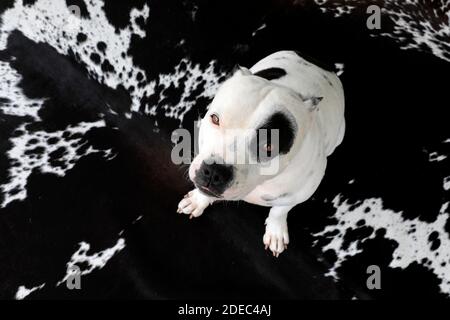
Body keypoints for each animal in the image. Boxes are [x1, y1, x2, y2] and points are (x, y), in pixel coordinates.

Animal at [176, 51, 344, 256]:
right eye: (215, 119)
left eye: (268, 146)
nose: (214, 171)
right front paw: (199, 200)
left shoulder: (302, 192)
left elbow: (280, 210)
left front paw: (276, 231)